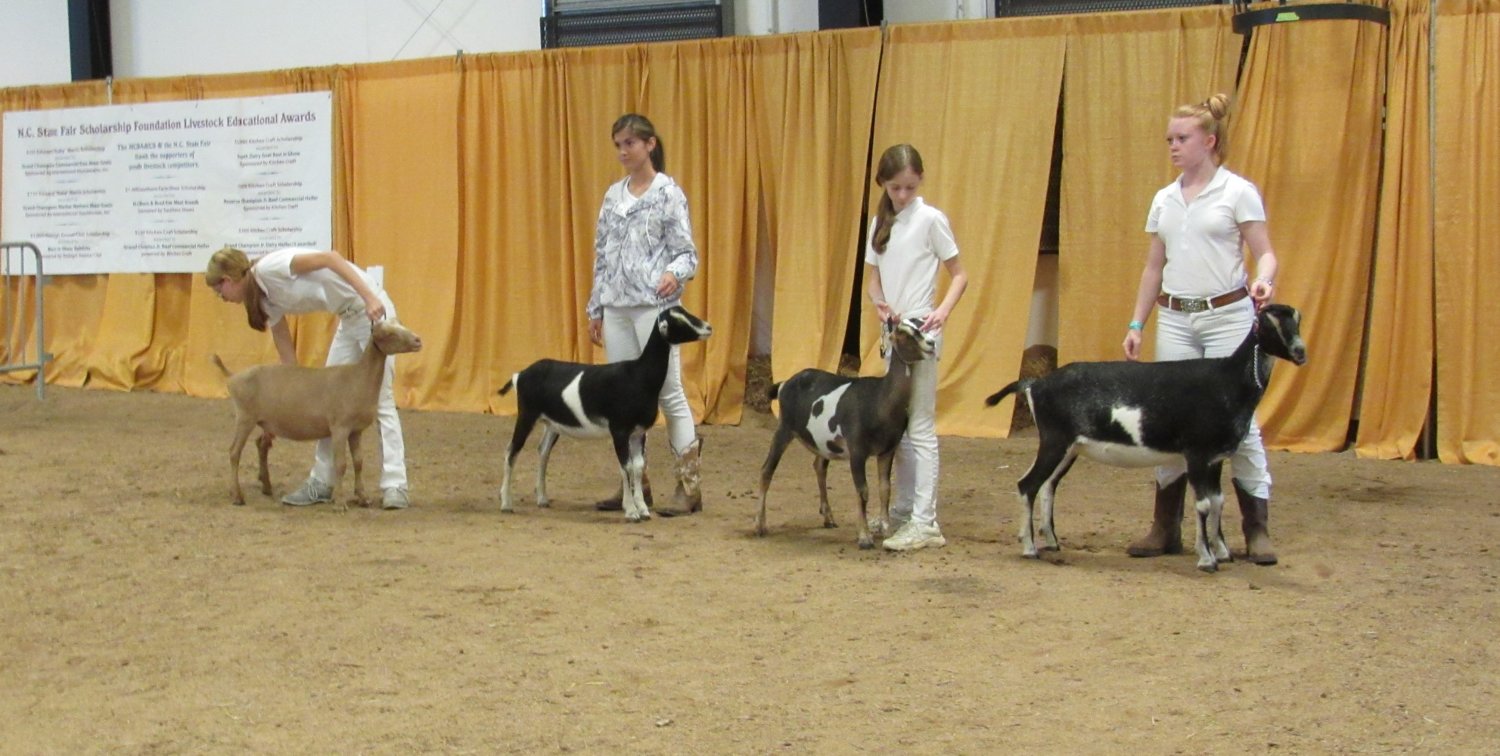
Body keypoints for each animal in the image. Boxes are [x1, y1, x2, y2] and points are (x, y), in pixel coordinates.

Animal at [498, 304, 714, 522]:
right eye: (678, 320)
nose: (708, 327)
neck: (639, 375)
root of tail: (520, 374)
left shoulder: (638, 432)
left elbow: (637, 467)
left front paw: (643, 509)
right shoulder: (619, 430)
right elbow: (626, 467)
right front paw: (631, 511)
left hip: (552, 424)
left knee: (543, 451)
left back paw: (542, 498)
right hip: (527, 415)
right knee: (511, 451)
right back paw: (506, 503)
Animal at [762, 319, 936, 549]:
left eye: (923, 326)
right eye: (904, 333)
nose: (931, 343)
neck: (879, 398)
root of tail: (784, 384)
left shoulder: (888, 450)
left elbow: (885, 488)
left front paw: (886, 530)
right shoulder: (857, 451)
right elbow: (863, 491)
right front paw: (864, 537)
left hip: (823, 442)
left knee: (819, 466)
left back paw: (828, 518)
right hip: (784, 429)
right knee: (766, 470)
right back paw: (759, 525)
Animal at [984, 304, 1302, 570]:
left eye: (1297, 321)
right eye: (1270, 323)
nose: (1300, 352)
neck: (1228, 381)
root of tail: (1034, 384)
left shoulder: (1215, 459)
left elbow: (1218, 501)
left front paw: (1222, 552)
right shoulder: (1197, 454)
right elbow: (1203, 504)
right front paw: (1207, 560)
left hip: (1070, 447)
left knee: (1048, 485)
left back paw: (1051, 541)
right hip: (1055, 440)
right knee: (1028, 484)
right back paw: (1029, 548)